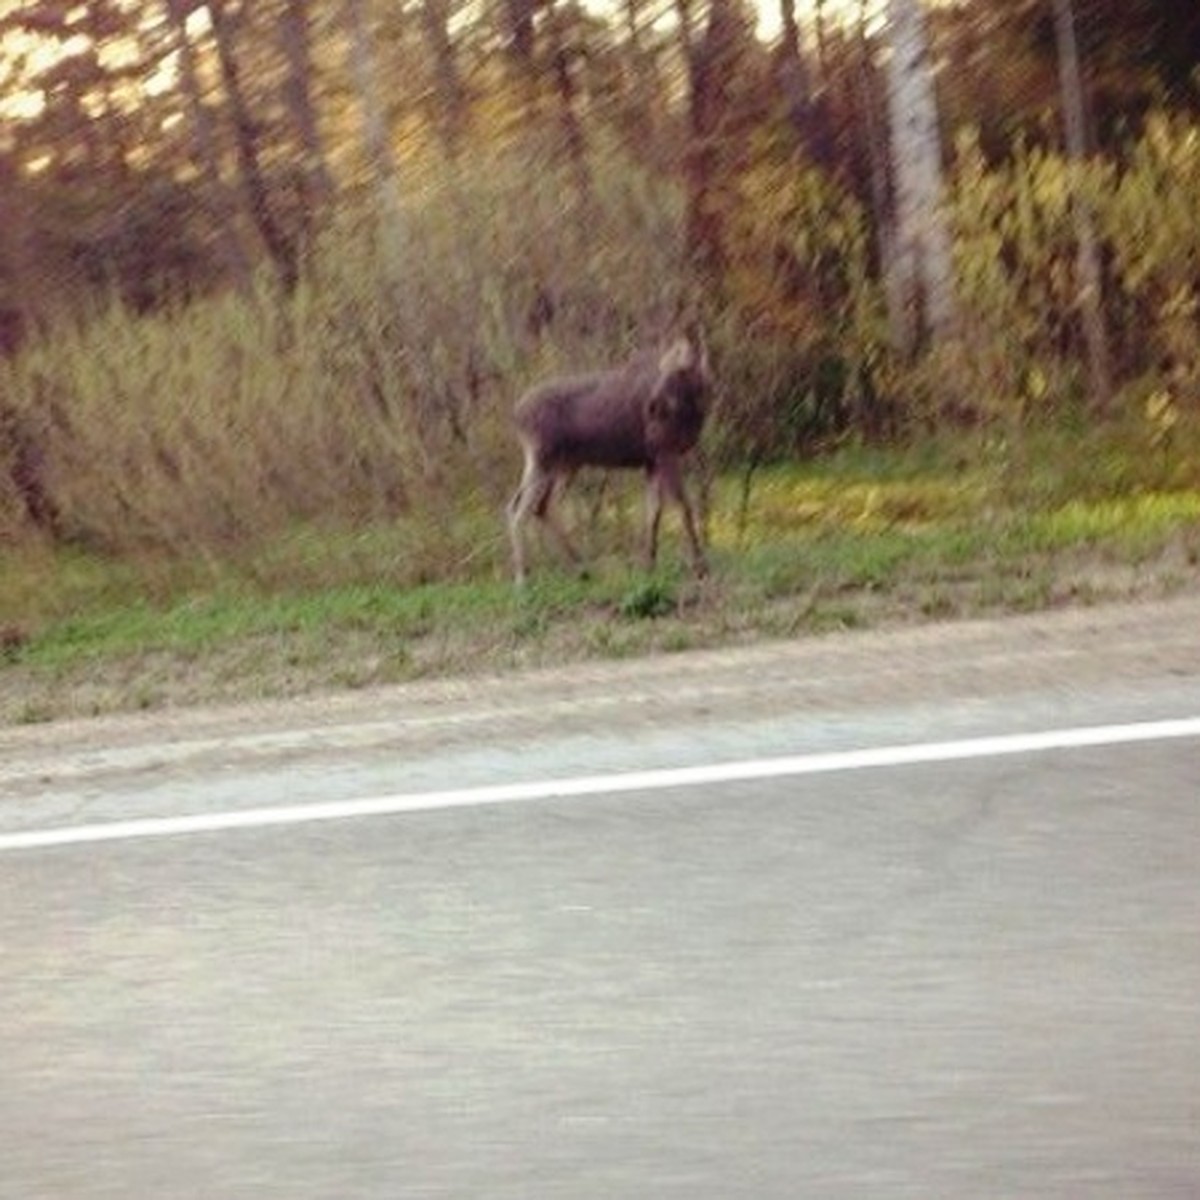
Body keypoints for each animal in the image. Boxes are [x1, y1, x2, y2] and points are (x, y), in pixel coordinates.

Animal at [508, 328, 710, 580]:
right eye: (662, 367)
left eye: (681, 369)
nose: (652, 405)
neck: (695, 410)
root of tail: (516, 415)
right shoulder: (665, 450)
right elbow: (683, 506)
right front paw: (699, 567)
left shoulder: (651, 460)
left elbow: (654, 513)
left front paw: (649, 565)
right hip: (543, 457)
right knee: (519, 509)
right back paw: (523, 577)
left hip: (566, 463)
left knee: (541, 505)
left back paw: (580, 568)